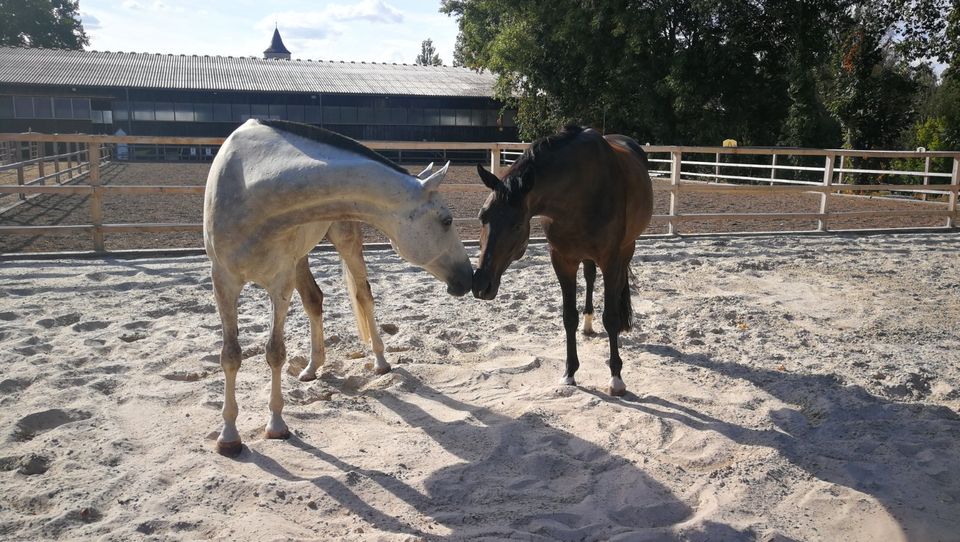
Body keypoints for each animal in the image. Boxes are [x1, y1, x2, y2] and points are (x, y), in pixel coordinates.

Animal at [203, 120, 472, 460]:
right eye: (447, 220)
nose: (469, 277)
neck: (252, 190)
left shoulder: (280, 282)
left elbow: (275, 352)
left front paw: (276, 425)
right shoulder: (223, 282)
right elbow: (230, 355)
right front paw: (228, 436)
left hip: (344, 242)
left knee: (363, 295)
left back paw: (380, 361)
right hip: (300, 258)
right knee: (314, 300)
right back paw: (312, 367)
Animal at [470, 128, 652, 400]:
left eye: (516, 225)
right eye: (483, 216)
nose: (481, 284)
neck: (581, 193)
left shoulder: (611, 259)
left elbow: (610, 317)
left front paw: (616, 378)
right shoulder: (562, 260)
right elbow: (568, 317)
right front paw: (569, 372)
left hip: (627, 249)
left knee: (618, 286)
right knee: (589, 277)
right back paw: (588, 324)